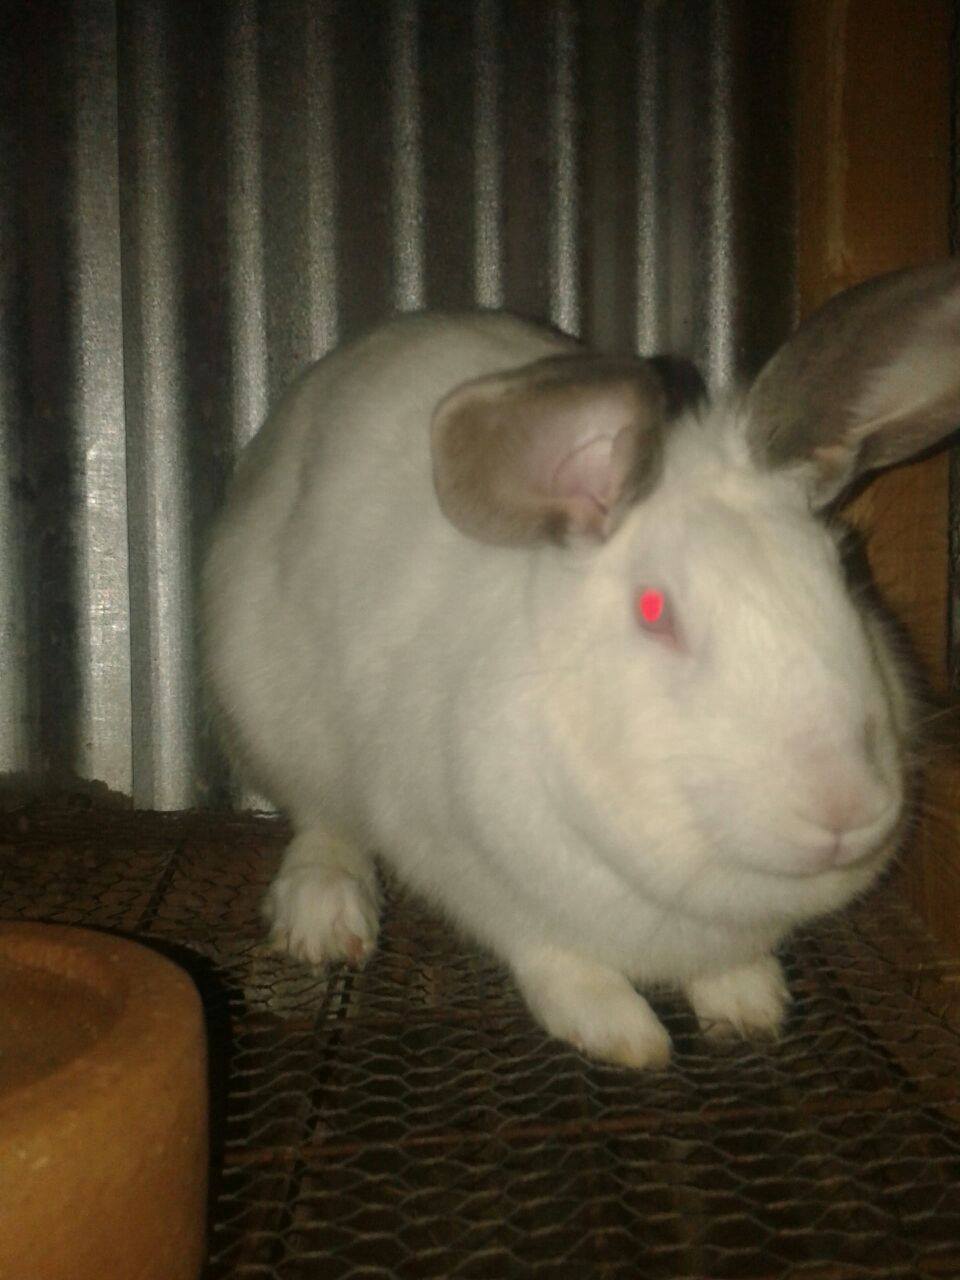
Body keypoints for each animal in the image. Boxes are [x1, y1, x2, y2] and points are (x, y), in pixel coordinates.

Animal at [202, 261, 960, 1069]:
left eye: (846, 568)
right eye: (655, 610)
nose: (844, 807)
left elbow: (729, 968)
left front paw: (750, 1005)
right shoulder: (475, 874)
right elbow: (555, 957)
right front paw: (621, 1033)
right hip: (267, 714)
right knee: (321, 820)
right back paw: (324, 916)